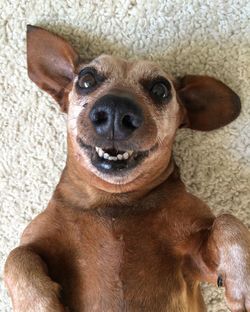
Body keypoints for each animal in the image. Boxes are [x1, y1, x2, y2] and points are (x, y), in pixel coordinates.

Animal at [3, 24, 250, 312]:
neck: (114, 202)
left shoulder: (197, 260)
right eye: (86, 79)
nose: (115, 110)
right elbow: (16, 256)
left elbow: (227, 221)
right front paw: (39, 305)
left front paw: (242, 279)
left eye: (161, 89)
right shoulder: (34, 240)